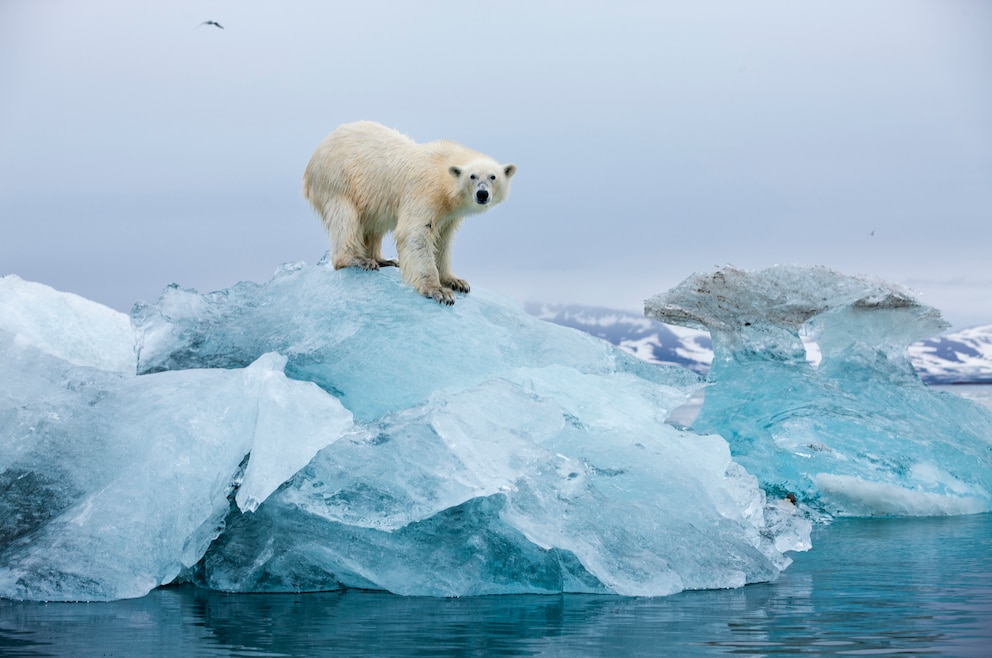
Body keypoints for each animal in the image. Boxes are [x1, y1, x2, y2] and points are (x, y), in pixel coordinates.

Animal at [304, 121, 520, 304]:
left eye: (493, 176)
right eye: (472, 176)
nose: (482, 194)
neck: (442, 173)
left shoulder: (449, 215)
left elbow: (443, 241)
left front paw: (456, 281)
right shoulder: (425, 193)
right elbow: (415, 234)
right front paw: (438, 291)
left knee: (373, 226)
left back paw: (383, 259)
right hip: (338, 180)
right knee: (345, 217)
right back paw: (358, 260)